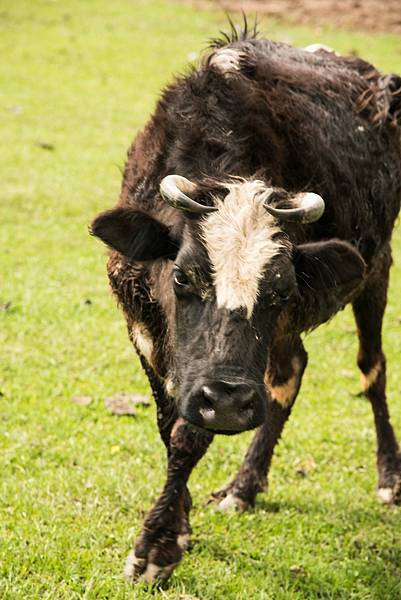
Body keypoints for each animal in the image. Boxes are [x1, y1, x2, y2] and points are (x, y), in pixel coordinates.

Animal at [90, 21, 400, 584]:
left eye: (280, 289)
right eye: (183, 276)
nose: (231, 402)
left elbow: (189, 435)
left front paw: (156, 547)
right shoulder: (143, 330)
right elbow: (169, 425)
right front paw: (181, 525)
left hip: (377, 268)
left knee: (373, 364)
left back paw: (390, 477)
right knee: (290, 369)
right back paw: (244, 485)